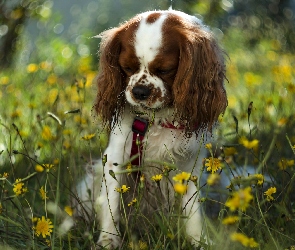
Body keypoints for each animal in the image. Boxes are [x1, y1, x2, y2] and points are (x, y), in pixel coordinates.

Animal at [75, 8, 228, 249]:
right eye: (127, 68)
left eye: (165, 69)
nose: (139, 91)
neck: (157, 120)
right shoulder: (116, 159)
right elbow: (112, 205)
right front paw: (108, 240)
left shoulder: (188, 166)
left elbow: (193, 210)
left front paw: (199, 241)